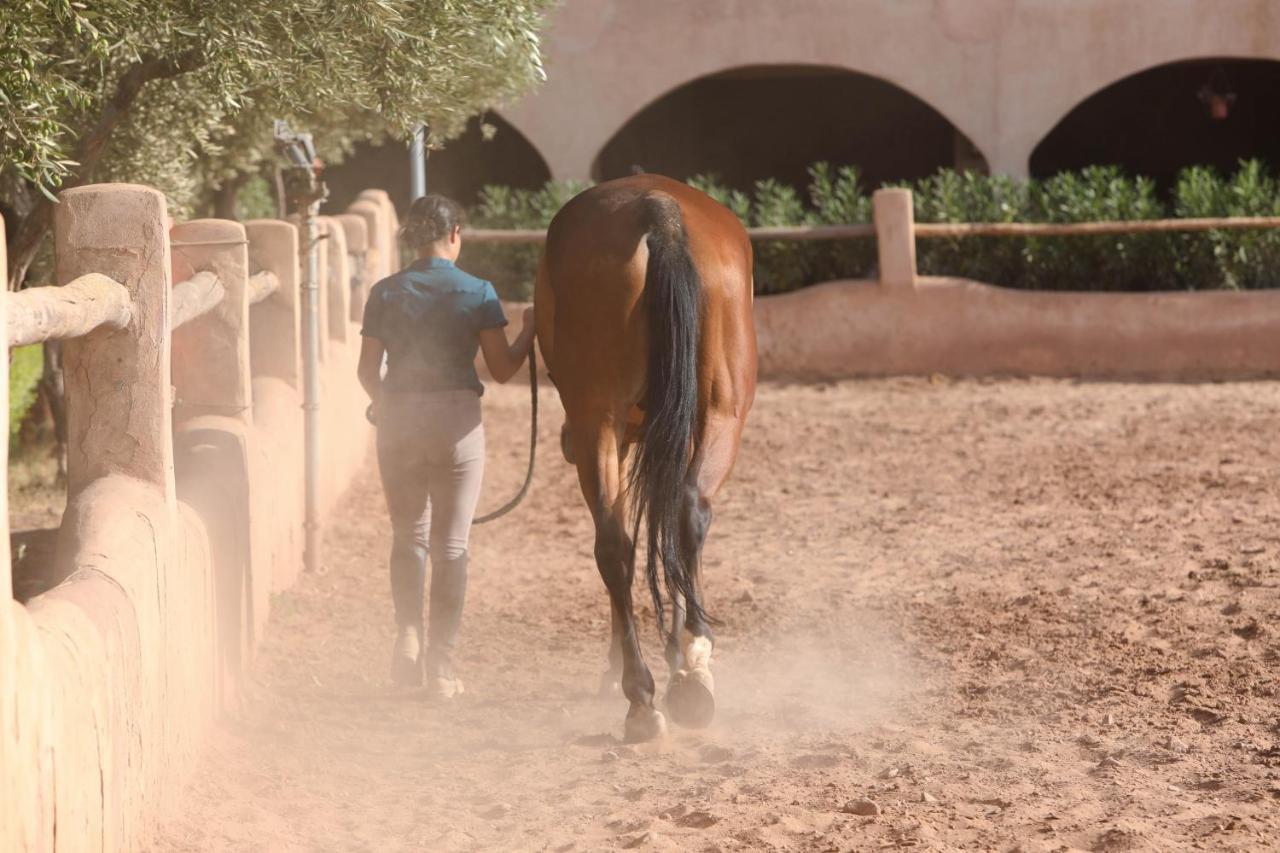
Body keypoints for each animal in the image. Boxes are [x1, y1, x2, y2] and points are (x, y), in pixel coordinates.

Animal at [532, 172, 752, 737]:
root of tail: (659, 211)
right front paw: (675, 655)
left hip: (609, 421)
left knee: (620, 542)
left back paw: (647, 693)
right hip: (717, 415)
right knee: (682, 515)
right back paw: (683, 672)